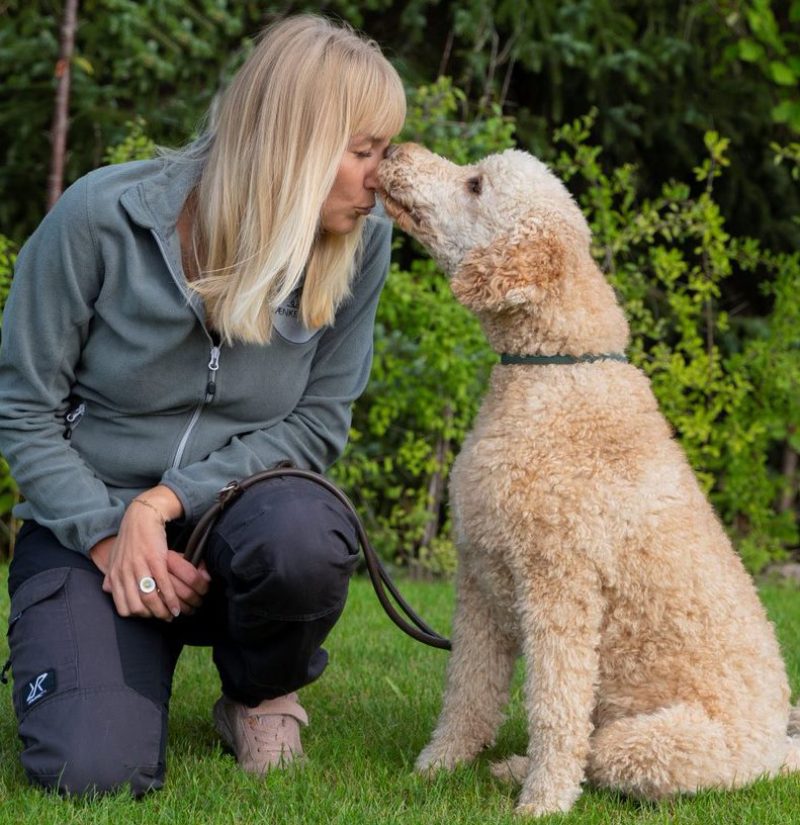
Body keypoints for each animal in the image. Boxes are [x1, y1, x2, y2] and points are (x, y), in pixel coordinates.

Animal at [378, 145, 796, 816]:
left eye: (475, 185)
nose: (396, 150)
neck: (555, 369)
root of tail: (775, 754)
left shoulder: (560, 586)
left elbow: (554, 707)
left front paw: (543, 804)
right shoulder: (479, 580)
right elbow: (467, 689)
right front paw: (437, 767)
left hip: (649, 742)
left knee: (598, 755)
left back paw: (531, 774)